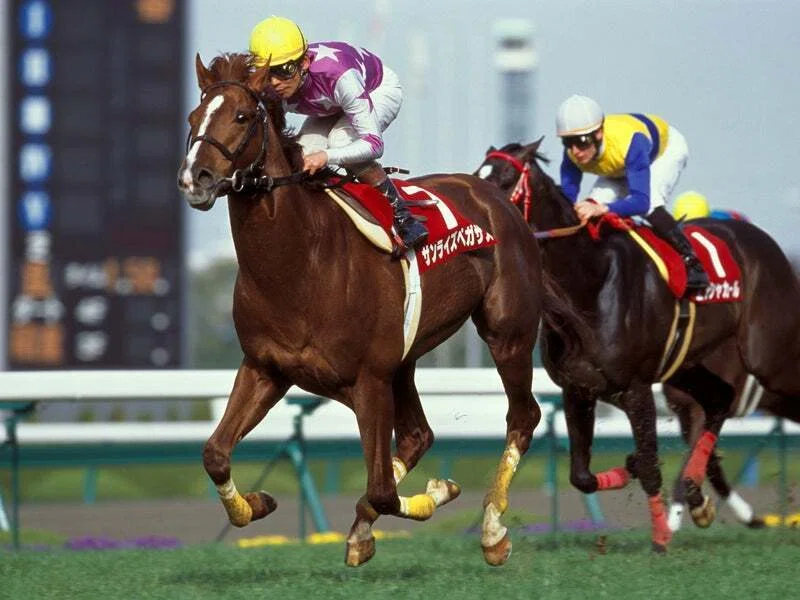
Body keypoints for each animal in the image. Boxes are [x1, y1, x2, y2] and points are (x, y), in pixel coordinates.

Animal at [177, 53, 586, 567]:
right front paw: (258, 503)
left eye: (241, 116)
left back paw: (493, 530)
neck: (300, 263)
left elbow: (382, 491)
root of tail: (495, 198)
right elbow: (215, 454)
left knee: (522, 417)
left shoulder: (368, 379)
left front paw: (441, 494)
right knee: (418, 435)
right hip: (404, 362)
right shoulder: (265, 369)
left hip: (506, 333)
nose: (195, 179)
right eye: (193, 118)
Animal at [475, 140, 800, 552]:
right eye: (478, 174)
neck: (590, 280)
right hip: (690, 367)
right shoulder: (579, 389)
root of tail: (765, 242)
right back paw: (699, 499)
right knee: (718, 398)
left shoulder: (636, 387)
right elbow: (582, 475)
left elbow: (648, 466)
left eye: (505, 178)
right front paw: (630, 469)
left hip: (770, 357)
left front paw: (661, 536)